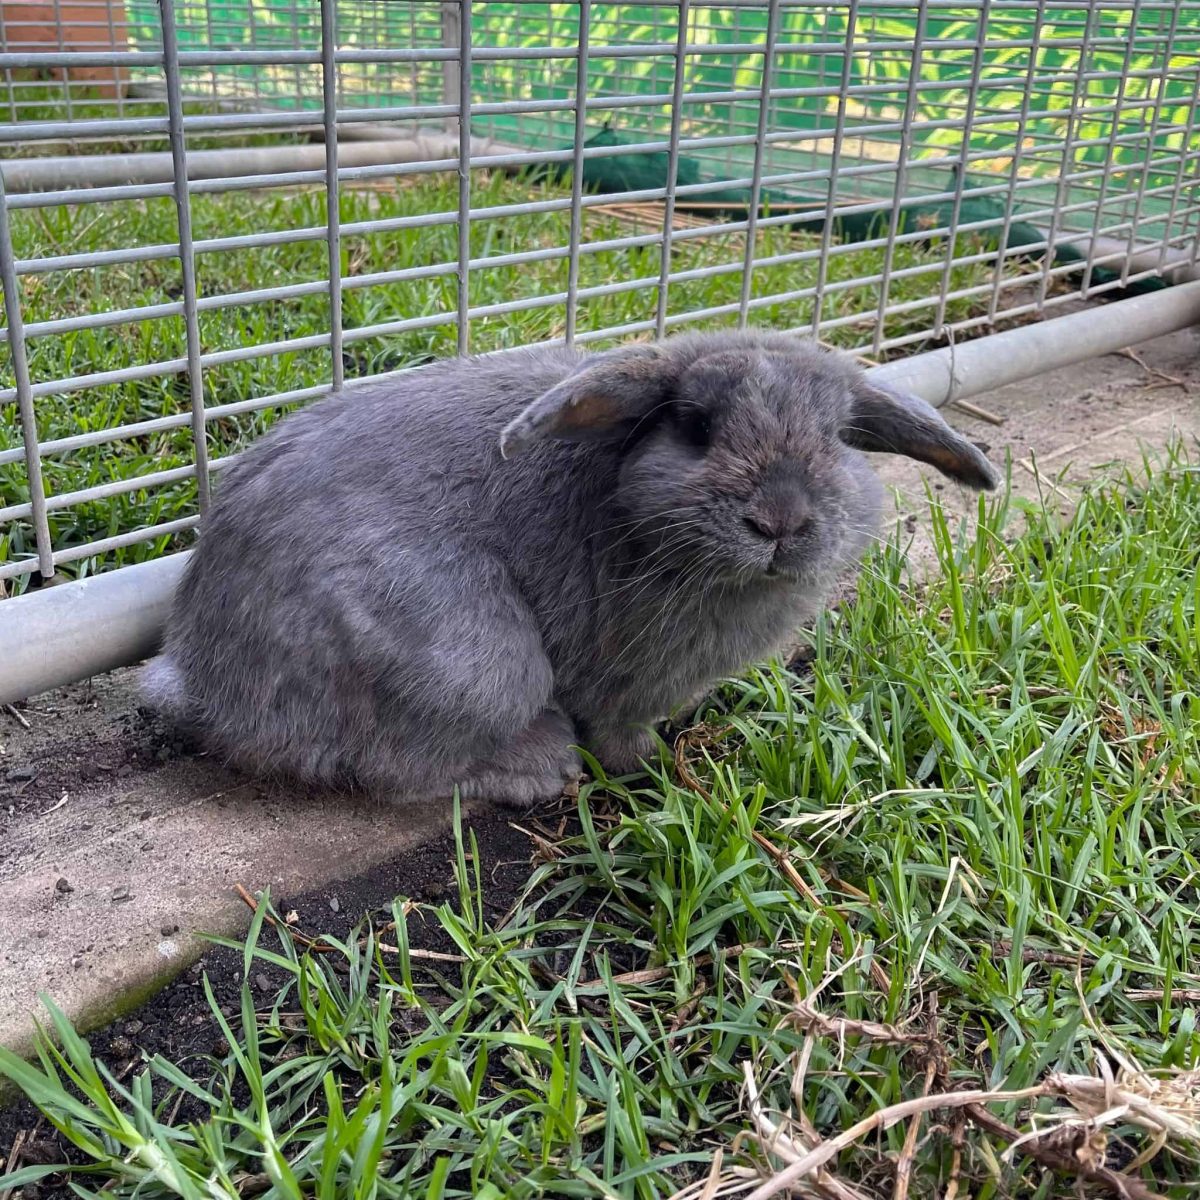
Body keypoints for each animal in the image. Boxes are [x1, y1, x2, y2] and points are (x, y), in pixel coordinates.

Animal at [145, 328, 998, 806]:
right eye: (696, 427)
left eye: (840, 437)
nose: (781, 521)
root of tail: (204, 676)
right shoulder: (619, 681)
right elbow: (616, 730)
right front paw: (643, 764)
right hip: (478, 663)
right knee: (395, 771)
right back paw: (539, 768)